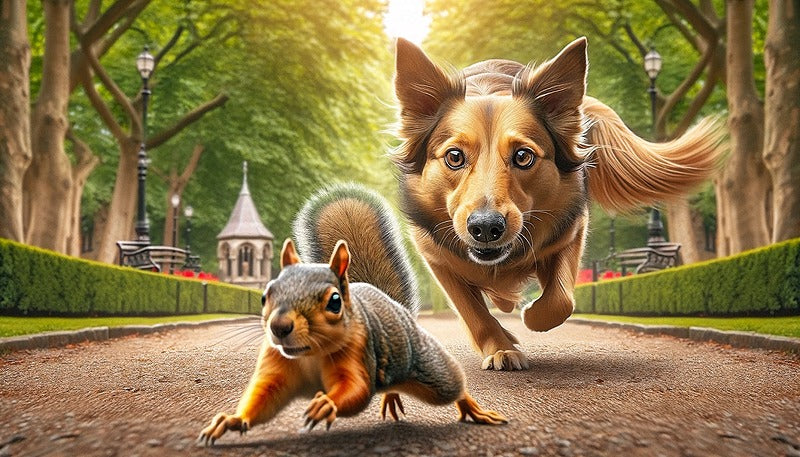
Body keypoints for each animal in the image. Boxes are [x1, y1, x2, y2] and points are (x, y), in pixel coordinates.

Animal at [200, 184, 507, 445]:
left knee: (450, 383)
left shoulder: (358, 353)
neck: (308, 354)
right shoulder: (277, 369)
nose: (279, 326)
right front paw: (231, 420)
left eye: (335, 301)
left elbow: (355, 389)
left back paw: (473, 410)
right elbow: (264, 398)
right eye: (266, 295)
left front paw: (325, 404)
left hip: (423, 363)